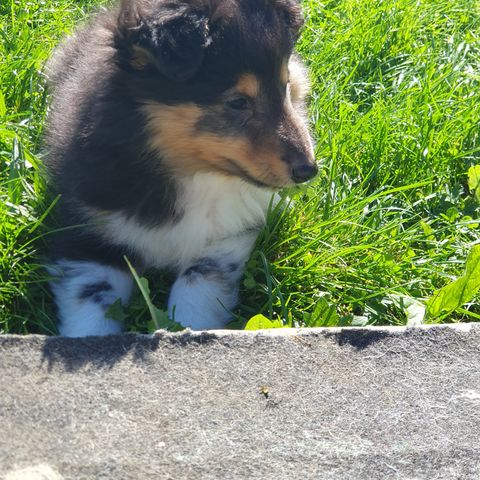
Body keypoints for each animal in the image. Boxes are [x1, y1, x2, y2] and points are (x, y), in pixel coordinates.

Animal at [44, 0, 316, 338]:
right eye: (238, 102)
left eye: (284, 87)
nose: (309, 170)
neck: (191, 175)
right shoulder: (86, 232)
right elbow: (91, 308)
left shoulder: (224, 239)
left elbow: (196, 293)